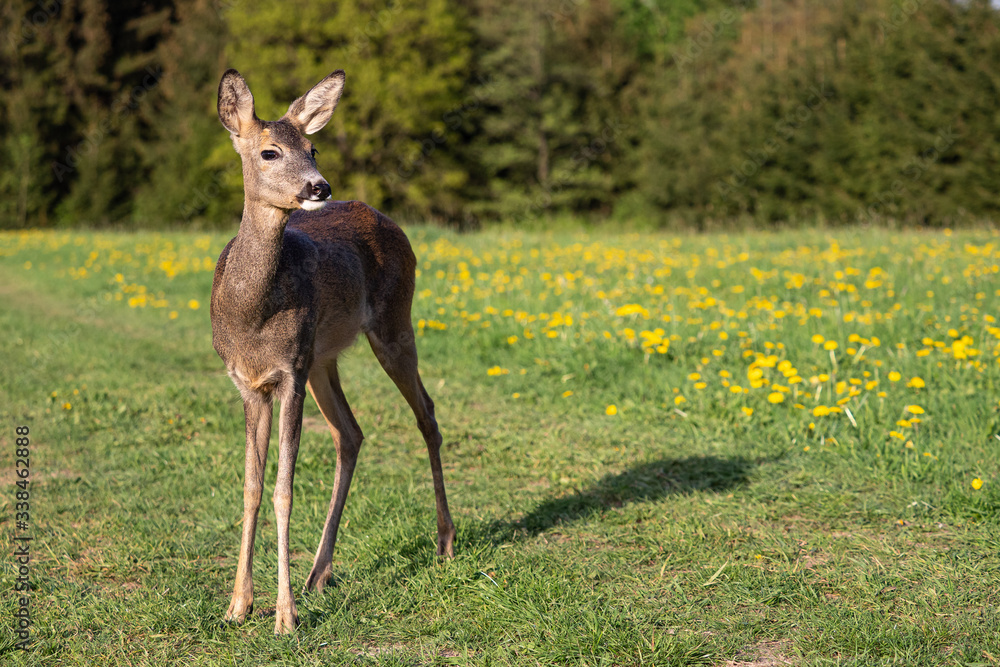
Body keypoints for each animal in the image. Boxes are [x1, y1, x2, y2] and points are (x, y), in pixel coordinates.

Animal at [211, 68, 456, 634]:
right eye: (270, 151)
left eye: (314, 148)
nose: (319, 187)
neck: (251, 313)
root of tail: (388, 220)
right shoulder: (249, 383)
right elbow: (251, 487)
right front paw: (238, 606)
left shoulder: (290, 371)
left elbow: (283, 489)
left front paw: (283, 617)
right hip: (324, 360)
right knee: (352, 432)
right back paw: (318, 573)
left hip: (392, 323)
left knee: (427, 414)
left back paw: (445, 542)